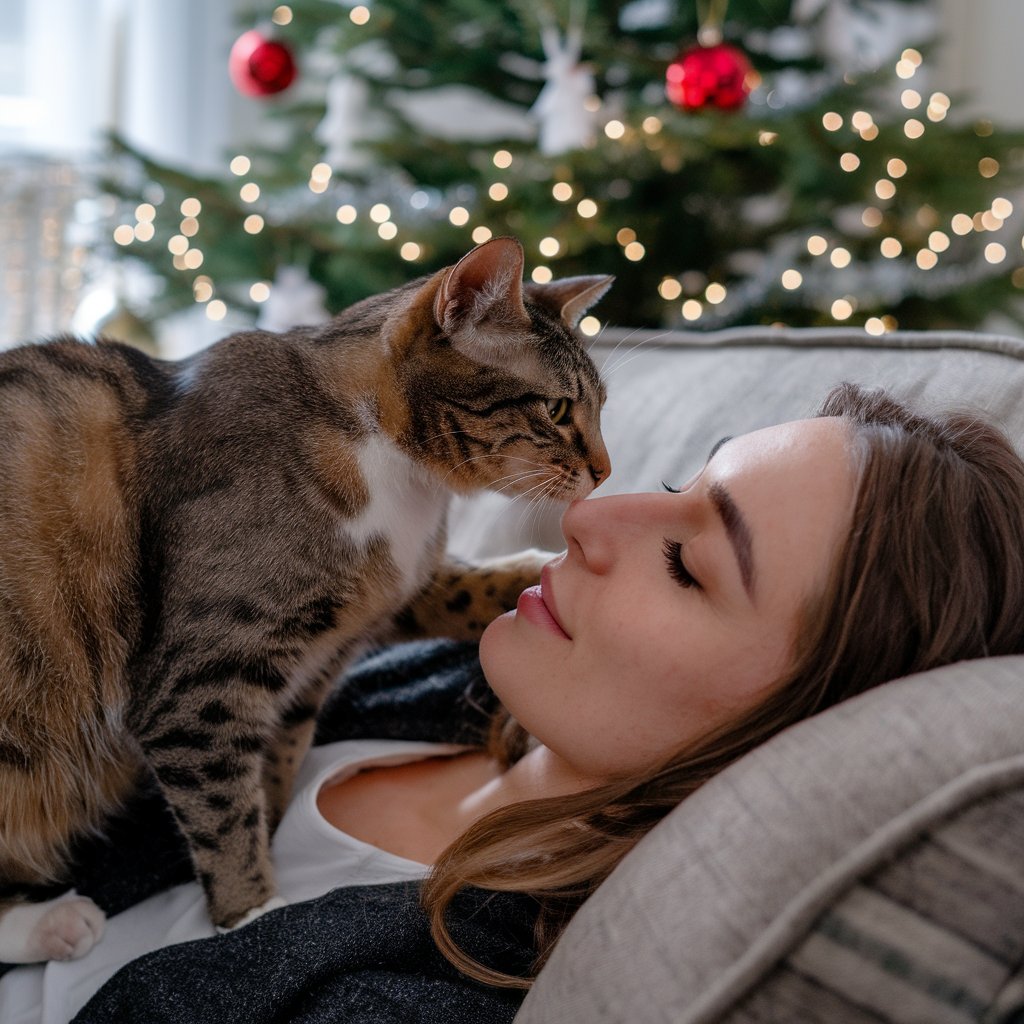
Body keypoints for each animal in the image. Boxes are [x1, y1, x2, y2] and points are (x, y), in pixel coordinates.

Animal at [0, 235, 610, 962]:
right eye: (557, 410)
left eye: (601, 406)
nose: (607, 472)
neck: (402, 479)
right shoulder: (199, 682)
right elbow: (222, 810)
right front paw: (254, 917)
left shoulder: (369, 610)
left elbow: (278, 760)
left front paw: (546, 578)